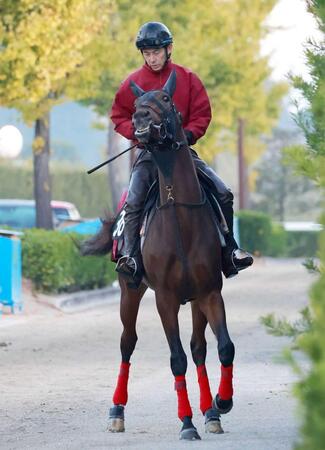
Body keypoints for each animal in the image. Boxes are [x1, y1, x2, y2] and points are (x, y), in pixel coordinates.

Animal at [82, 69, 234, 440]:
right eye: (137, 101)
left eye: (166, 99)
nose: (140, 120)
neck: (181, 219)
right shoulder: (165, 298)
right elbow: (176, 358)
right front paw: (186, 422)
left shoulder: (210, 292)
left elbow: (223, 348)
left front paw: (220, 403)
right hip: (130, 290)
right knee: (127, 342)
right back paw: (117, 411)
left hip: (195, 299)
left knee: (199, 348)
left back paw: (210, 412)